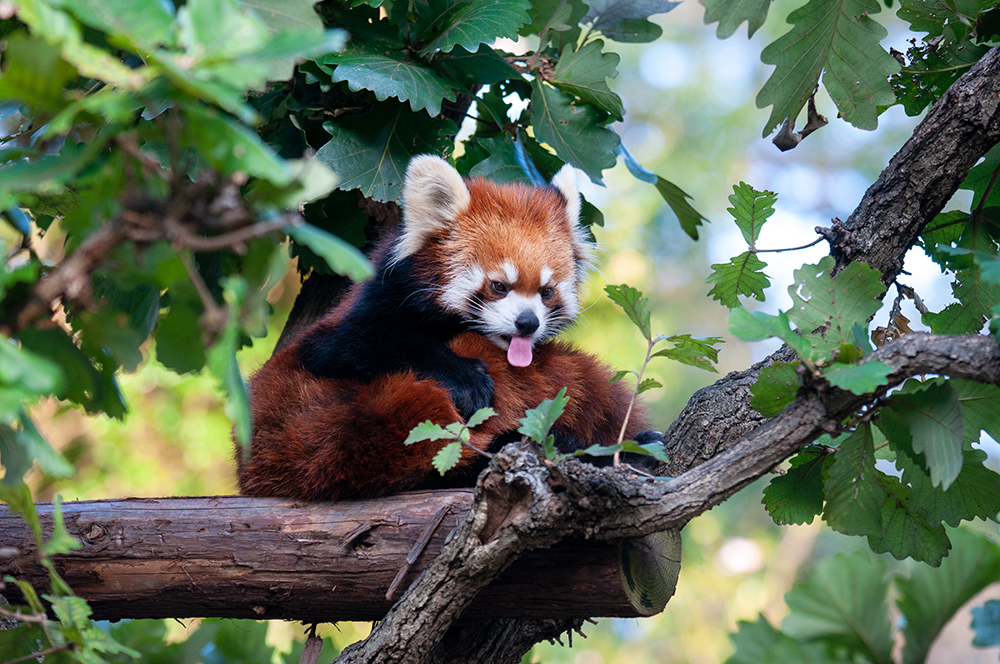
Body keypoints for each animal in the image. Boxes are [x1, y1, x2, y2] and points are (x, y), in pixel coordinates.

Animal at [239, 156, 664, 498]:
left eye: (546, 291)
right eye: (499, 286)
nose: (527, 323)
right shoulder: (358, 316)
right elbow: (363, 342)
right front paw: (467, 378)